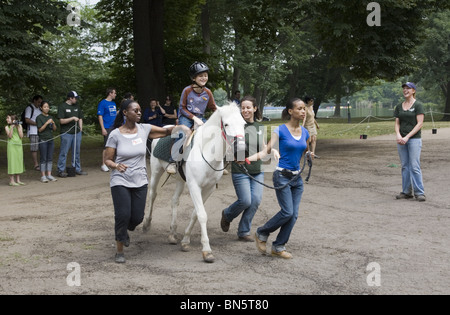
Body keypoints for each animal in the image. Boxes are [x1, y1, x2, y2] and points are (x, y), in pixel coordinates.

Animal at [143, 102, 246, 262]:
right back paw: (146, 224)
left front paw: (185, 241)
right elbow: (202, 215)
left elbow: (195, 214)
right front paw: (207, 251)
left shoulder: (209, 189)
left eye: (244, 124)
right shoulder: (194, 186)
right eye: (226, 124)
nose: (240, 151)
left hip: (180, 180)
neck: (207, 153)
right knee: (152, 194)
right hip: (156, 171)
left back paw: (172, 234)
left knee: (174, 201)